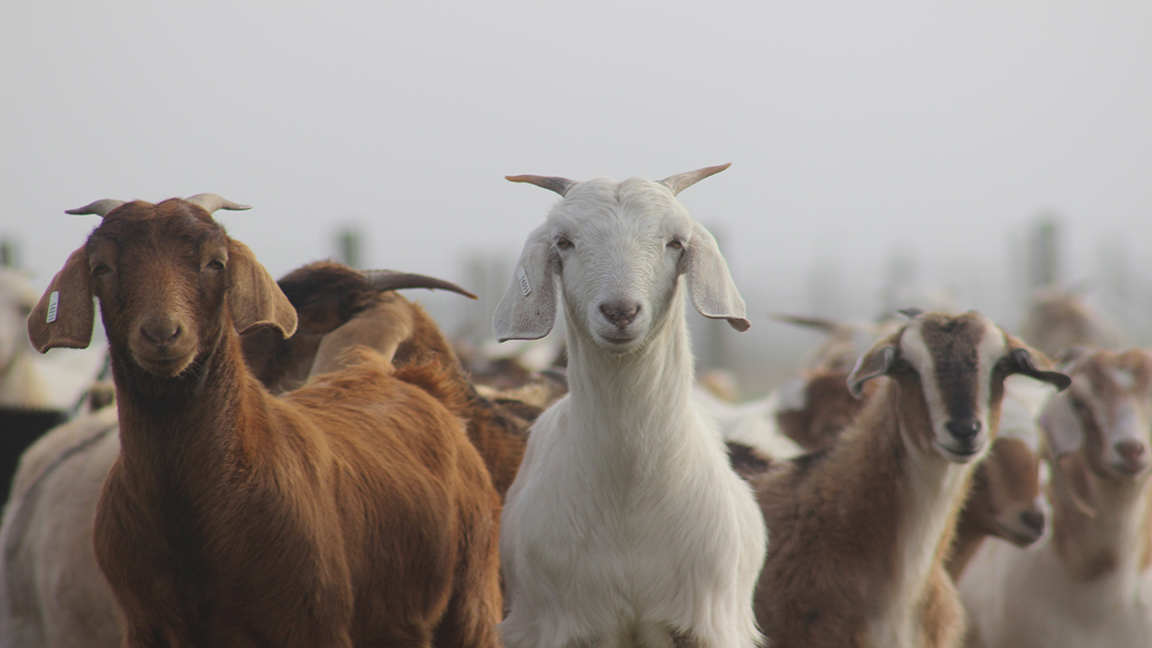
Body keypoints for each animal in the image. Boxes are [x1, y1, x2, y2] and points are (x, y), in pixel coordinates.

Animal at [27, 196, 502, 645]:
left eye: (216, 262)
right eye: (102, 267)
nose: (163, 334)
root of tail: (405, 378)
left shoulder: (310, 626)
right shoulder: (146, 626)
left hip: (470, 607)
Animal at [493, 163, 764, 645]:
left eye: (676, 242)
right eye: (564, 242)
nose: (620, 312)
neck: (628, 491)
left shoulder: (708, 624)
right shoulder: (560, 624)